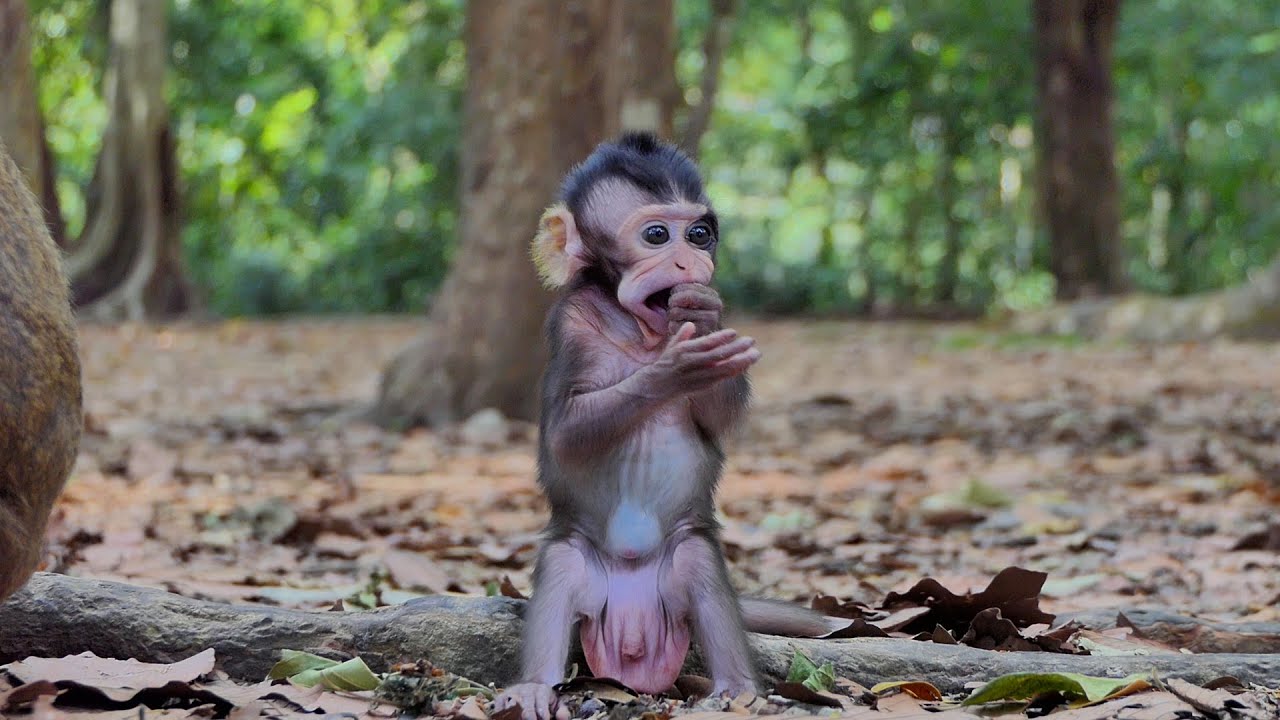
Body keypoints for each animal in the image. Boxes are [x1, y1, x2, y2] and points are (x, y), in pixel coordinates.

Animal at [495, 134, 832, 720]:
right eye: (657, 235)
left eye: (699, 233)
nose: (689, 257)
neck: (640, 330)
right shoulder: (570, 321)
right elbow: (566, 436)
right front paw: (675, 368)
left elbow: (718, 418)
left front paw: (702, 325)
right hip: (583, 565)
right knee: (561, 567)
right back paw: (536, 686)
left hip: (678, 564)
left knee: (698, 563)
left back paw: (736, 688)